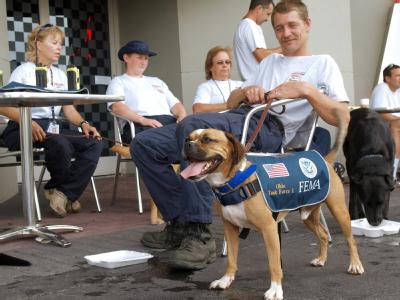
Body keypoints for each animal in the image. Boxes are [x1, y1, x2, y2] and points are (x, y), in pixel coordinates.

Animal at [181, 119, 366, 298]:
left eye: (207, 139)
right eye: (188, 138)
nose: (186, 144)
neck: (236, 181)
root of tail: (325, 159)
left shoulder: (269, 229)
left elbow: (274, 264)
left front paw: (276, 289)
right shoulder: (230, 229)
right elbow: (231, 259)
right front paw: (226, 280)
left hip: (339, 212)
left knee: (350, 240)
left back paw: (355, 265)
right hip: (308, 215)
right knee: (323, 234)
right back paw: (321, 259)